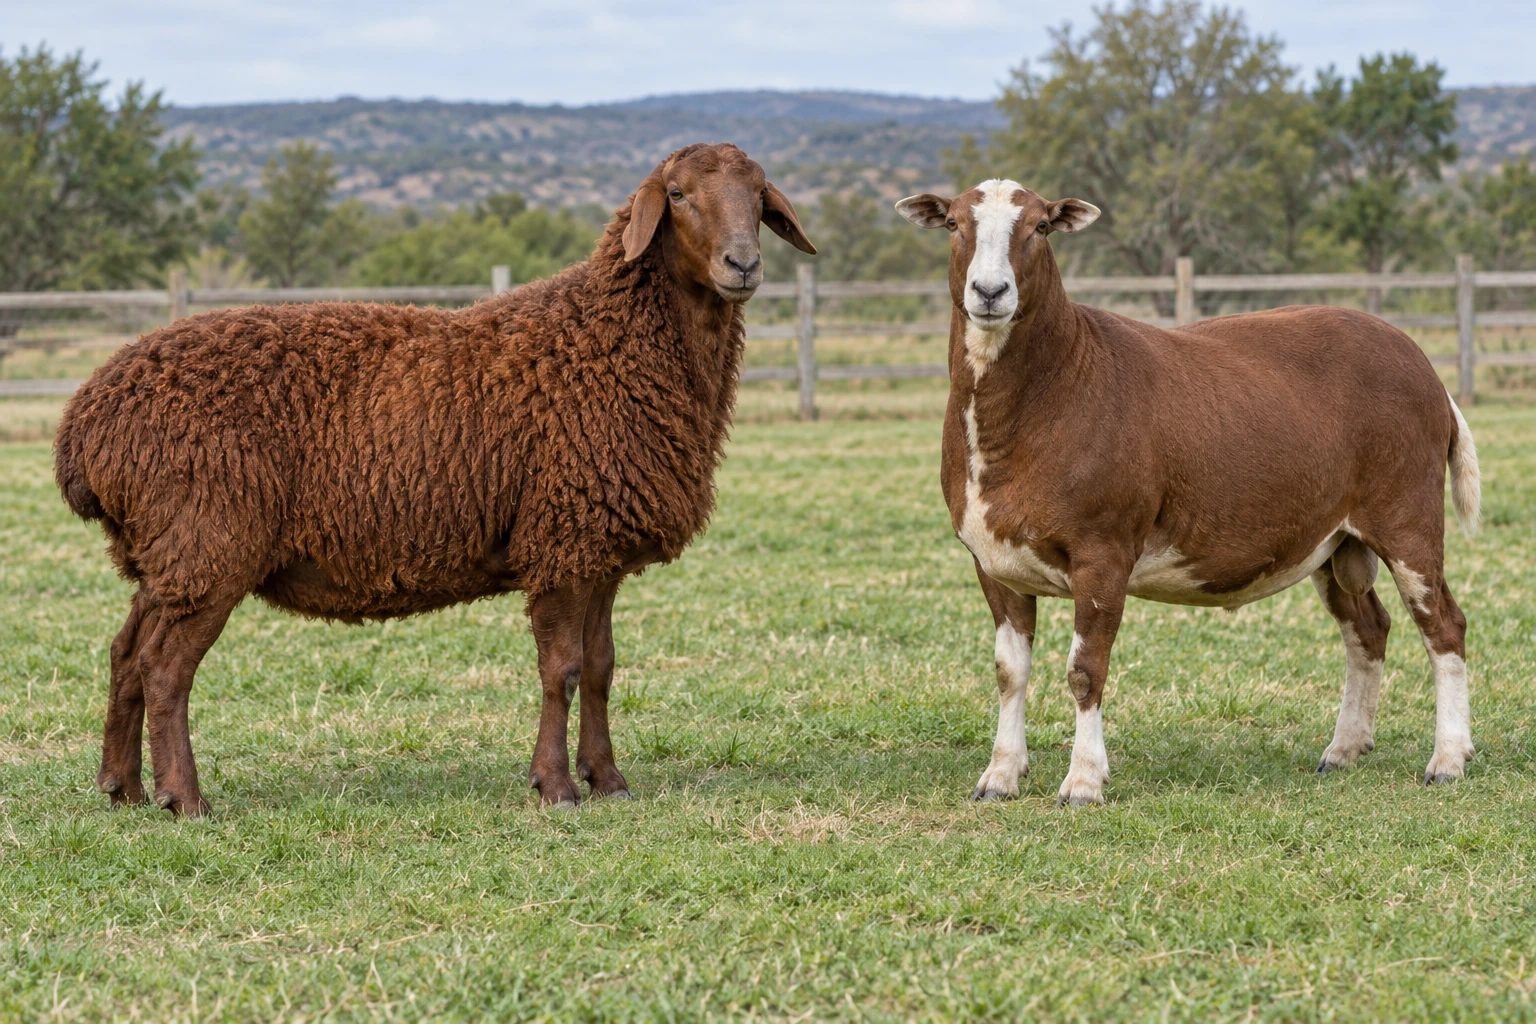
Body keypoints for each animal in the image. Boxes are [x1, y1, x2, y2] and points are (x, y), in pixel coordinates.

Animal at [54, 142, 816, 815]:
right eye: (678, 194)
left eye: (759, 194)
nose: (743, 263)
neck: (611, 342)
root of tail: (85, 425)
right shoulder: (561, 539)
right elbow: (562, 669)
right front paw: (556, 788)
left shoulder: (596, 547)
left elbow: (601, 668)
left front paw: (608, 780)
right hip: (207, 544)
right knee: (165, 669)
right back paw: (184, 799)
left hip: (166, 555)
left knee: (125, 654)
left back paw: (122, 789)